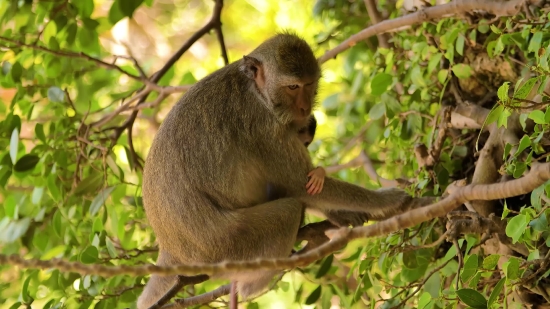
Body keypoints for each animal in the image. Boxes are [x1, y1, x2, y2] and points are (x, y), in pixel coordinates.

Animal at [137, 32, 436, 306]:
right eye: (293, 86)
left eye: (309, 84)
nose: (304, 108)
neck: (257, 91)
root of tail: (171, 250)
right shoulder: (265, 127)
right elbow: (297, 185)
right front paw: (385, 201)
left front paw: (343, 212)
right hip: (226, 248)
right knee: (288, 210)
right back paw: (252, 285)